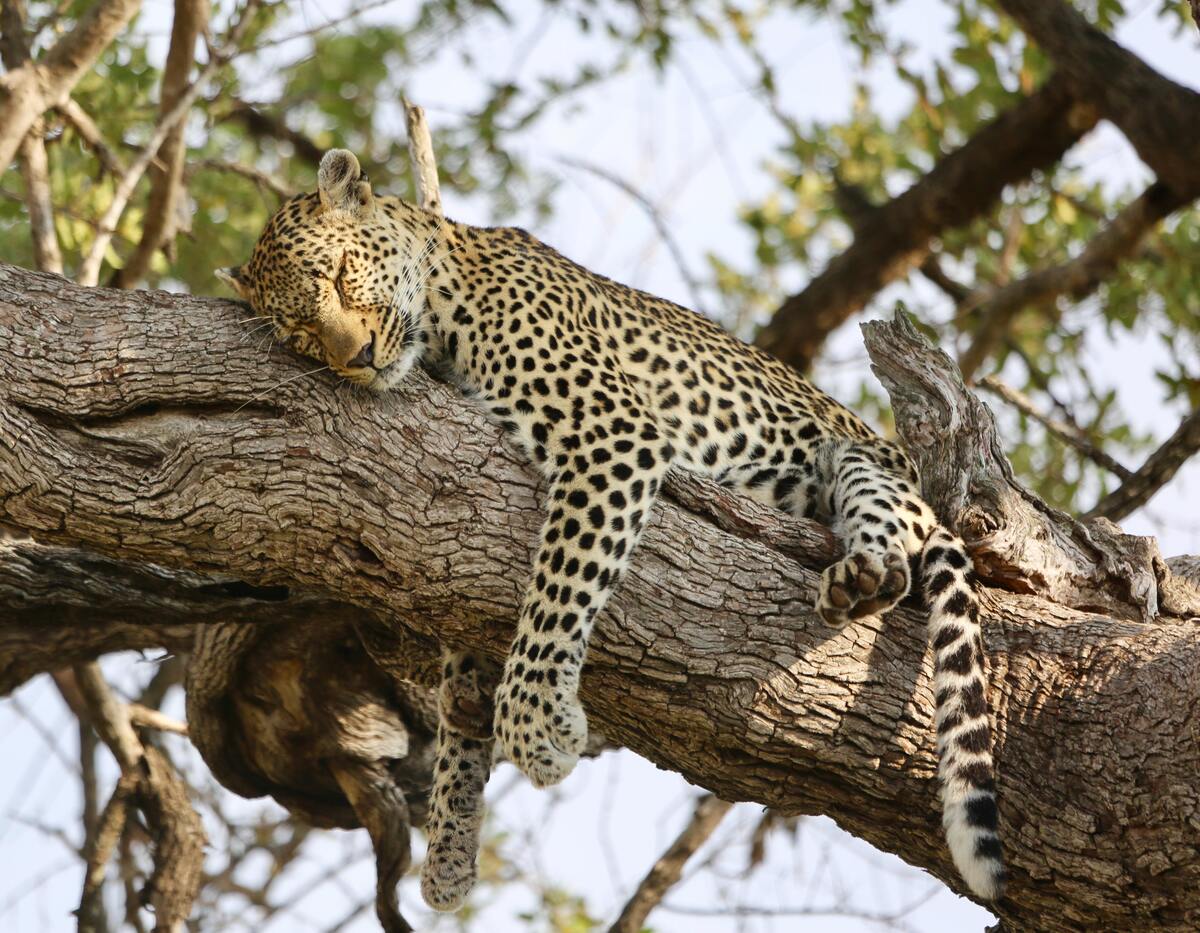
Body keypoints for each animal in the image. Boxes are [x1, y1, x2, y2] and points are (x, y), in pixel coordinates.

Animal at [218, 149, 1003, 906]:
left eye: (340, 275)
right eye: (299, 333)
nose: (355, 358)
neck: (442, 297)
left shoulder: (609, 431)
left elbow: (559, 583)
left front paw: (535, 719)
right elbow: (462, 678)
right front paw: (450, 838)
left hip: (860, 457)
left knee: (905, 526)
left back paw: (868, 569)